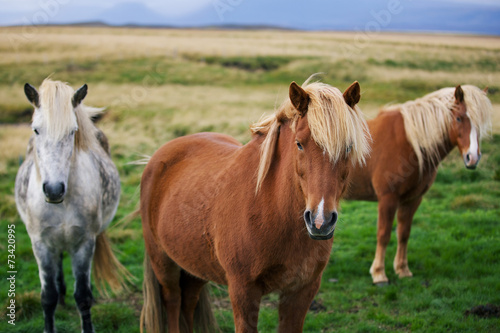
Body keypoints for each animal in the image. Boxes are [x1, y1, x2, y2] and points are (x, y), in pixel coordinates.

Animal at [16, 78, 127, 332]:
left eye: (72, 131)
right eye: (36, 129)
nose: (54, 189)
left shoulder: (84, 243)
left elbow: (83, 297)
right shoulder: (40, 244)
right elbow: (47, 297)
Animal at [141, 79, 372, 330]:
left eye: (348, 147)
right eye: (299, 144)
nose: (320, 221)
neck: (271, 210)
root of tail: (158, 156)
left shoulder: (301, 292)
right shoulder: (243, 291)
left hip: (194, 265)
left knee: (188, 302)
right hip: (163, 263)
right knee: (173, 301)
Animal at [344, 84, 492, 284]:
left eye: (480, 123)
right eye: (459, 118)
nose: (473, 158)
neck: (410, 142)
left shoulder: (412, 199)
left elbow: (404, 234)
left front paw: (402, 270)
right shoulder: (388, 199)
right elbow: (383, 235)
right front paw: (379, 274)